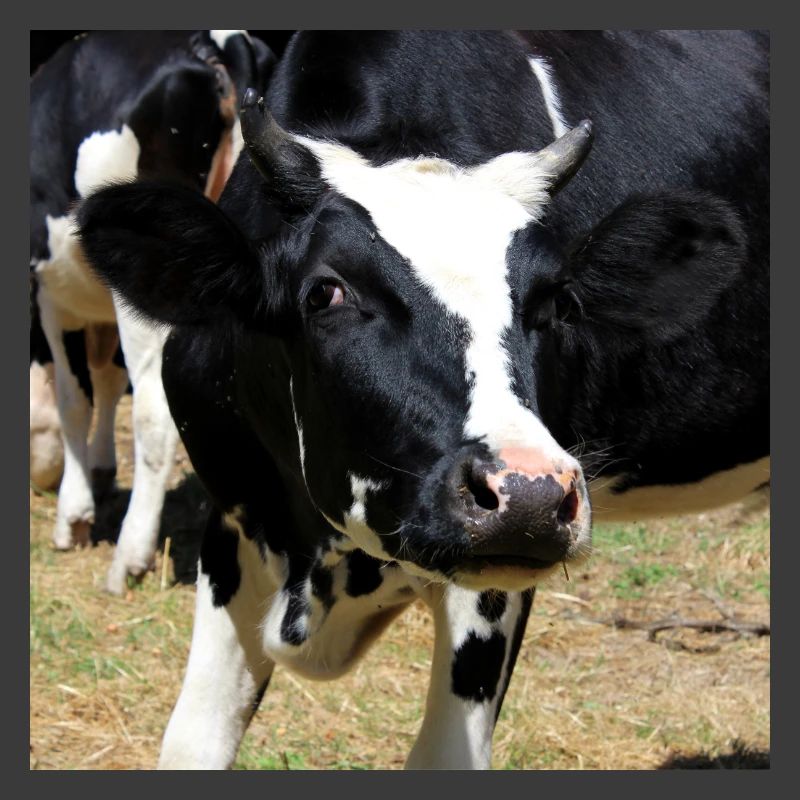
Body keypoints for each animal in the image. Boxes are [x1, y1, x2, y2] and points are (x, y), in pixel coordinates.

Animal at [30, 30, 275, 594]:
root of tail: (212, 45)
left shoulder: (54, 294)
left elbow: (75, 397)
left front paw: (74, 515)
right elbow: (106, 380)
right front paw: (101, 470)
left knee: (154, 412)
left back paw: (130, 556)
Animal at [77, 31, 768, 769]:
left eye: (556, 304)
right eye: (326, 292)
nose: (530, 494)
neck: (320, 561)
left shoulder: (491, 584)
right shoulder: (236, 516)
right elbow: (191, 741)